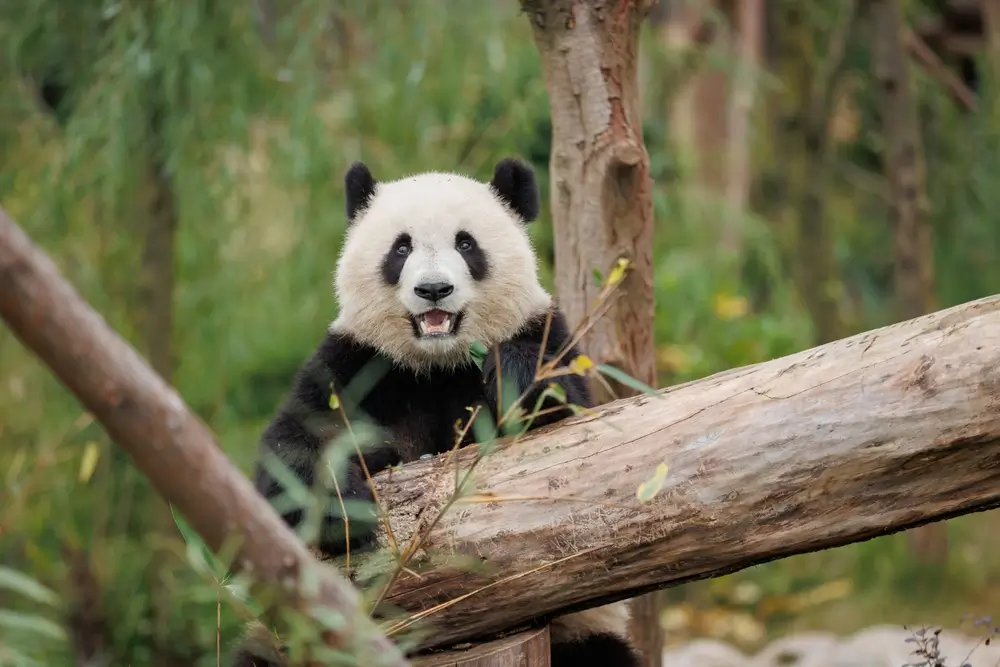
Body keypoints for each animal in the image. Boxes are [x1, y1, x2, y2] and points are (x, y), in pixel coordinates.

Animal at [229, 157, 641, 667]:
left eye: (466, 244)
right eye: (401, 248)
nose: (433, 289)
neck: (438, 363)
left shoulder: (544, 330)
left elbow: (573, 422)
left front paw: (515, 376)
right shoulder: (357, 361)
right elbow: (296, 440)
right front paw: (348, 510)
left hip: (582, 630)